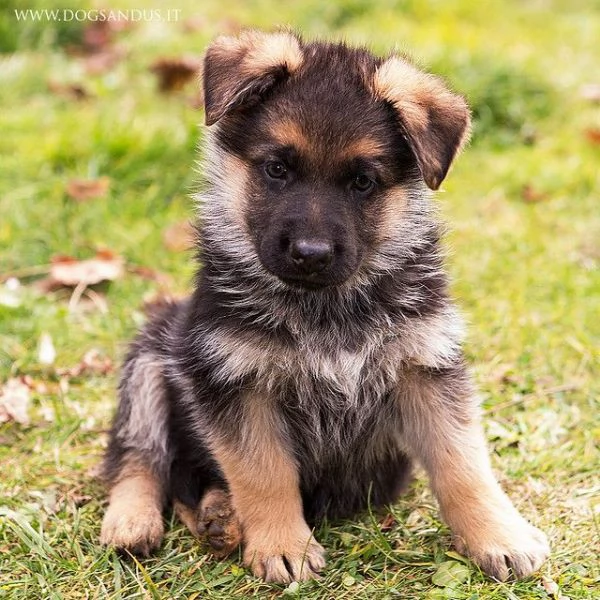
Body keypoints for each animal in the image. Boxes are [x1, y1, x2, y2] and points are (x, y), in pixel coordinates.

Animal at [101, 31, 552, 580]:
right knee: (140, 456)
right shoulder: (233, 378)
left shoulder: (426, 365)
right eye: (277, 169)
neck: (325, 306)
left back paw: (218, 515)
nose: (310, 254)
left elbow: (463, 462)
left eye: (362, 182)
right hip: (151, 353)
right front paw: (283, 546)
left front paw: (499, 536)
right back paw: (134, 522)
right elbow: (263, 471)